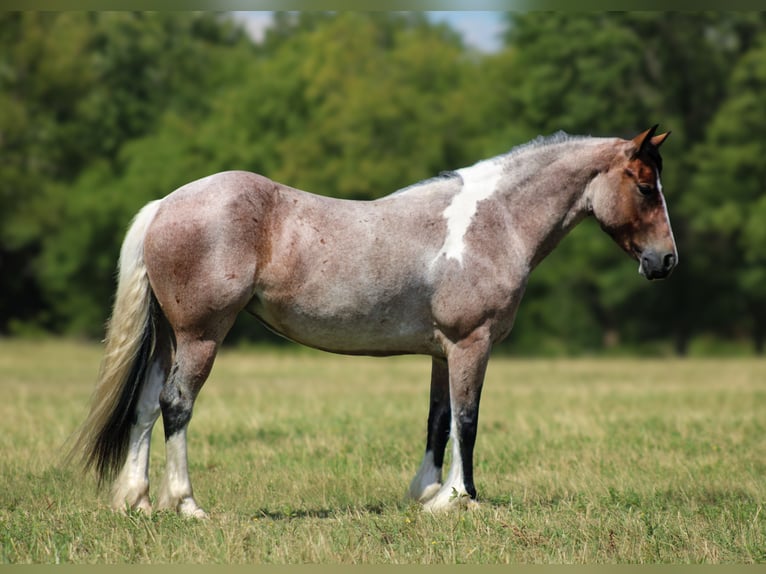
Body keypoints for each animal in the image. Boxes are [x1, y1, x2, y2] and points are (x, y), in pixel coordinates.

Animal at [67, 125, 676, 518]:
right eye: (646, 186)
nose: (665, 261)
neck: (495, 223)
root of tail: (165, 205)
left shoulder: (442, 351)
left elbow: (439, 419)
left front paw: (427, 494)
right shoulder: (471, 344)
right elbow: (469, 420)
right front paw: (463, 500)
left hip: (171, 339)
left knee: (147, 405)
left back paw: (137, 501)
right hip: (201, 336)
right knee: (177, 405)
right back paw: (187, 505)